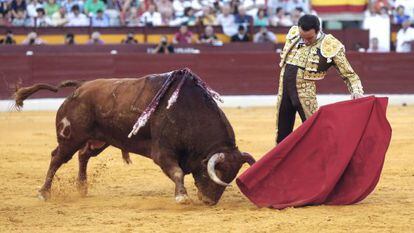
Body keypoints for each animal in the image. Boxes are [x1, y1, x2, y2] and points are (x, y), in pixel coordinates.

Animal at [13, 68, 256, 205]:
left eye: (232, 175)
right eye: (218, 171)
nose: (209, 201)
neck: (189, 112)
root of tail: (81, 87)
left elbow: (178, 172)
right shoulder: (162, 153)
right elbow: (177, 172)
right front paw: (181, 196)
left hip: (100, 140)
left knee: (83, 156)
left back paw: (82, 187)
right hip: (70, 138)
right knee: (57, 158)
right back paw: (44, 193)